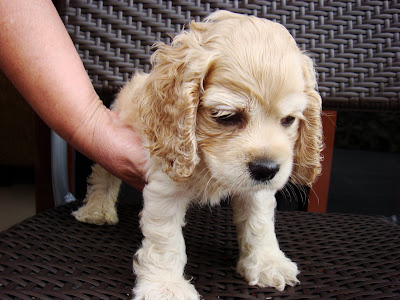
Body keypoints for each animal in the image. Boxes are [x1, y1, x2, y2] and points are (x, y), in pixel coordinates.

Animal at [73, 9, 324, 300]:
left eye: (288, 120)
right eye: (225, 116)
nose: (267, 169)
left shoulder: (257, 190)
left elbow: (259, 223)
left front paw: (267, 263)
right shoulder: (166, 182)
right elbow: (166, 240)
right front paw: (166, 286)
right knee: (103, 174)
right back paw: (97, 210)